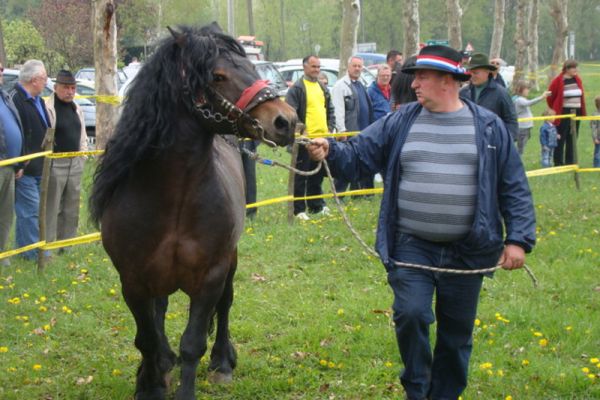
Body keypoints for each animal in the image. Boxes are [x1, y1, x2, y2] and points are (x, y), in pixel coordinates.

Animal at [88, 25, 298, 400]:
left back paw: (222, 362)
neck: (173, 199)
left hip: (230, 261)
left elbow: (193, 343)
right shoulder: (132, 280)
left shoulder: (211, 275)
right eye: (218, 75)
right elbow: (146, 340)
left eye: (252, 66)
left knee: (226, 304)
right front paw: (150, 384)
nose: (285, 120)